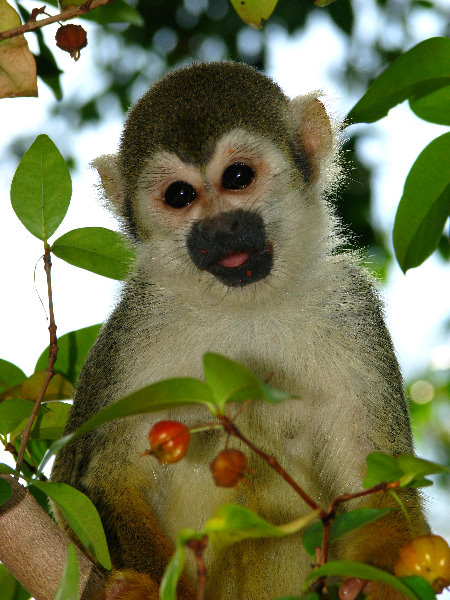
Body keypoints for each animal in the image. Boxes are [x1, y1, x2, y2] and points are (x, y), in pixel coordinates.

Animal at [51, 63, 428, 596]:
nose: (221, 228)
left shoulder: (351, 309)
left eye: (237, 177)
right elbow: (91, 481)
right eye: (180, 196)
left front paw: (377, 585)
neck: (244, 307)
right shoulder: (135, 329)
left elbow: (376, 483)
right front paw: (159, 592)